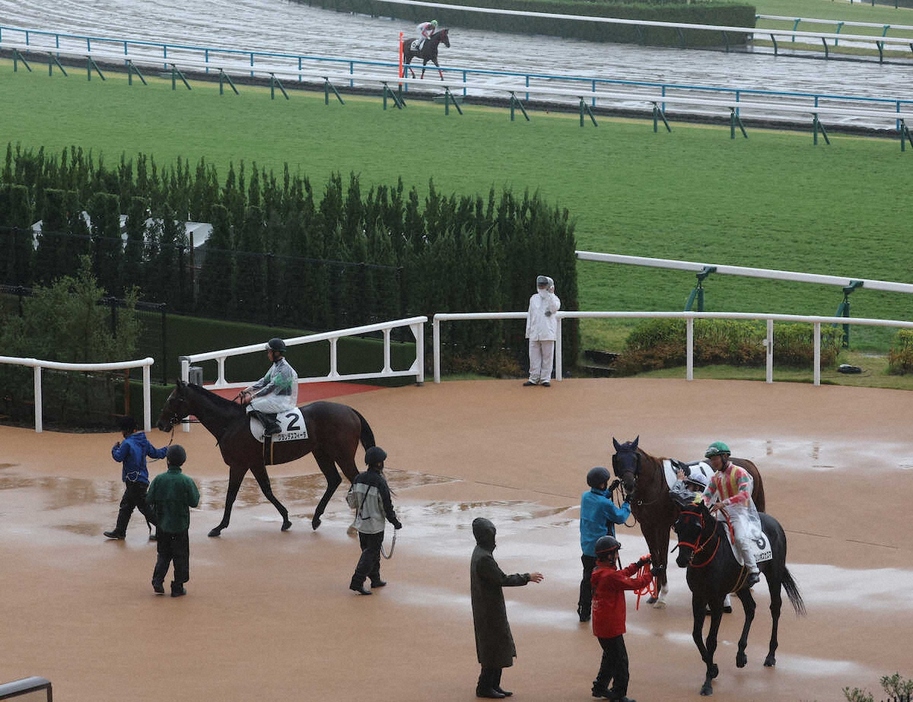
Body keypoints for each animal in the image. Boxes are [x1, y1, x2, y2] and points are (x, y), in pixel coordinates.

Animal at [157, 382, 374, 536]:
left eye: (173, 399)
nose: (160, 424)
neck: (231, 423)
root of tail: (350, 410)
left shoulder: (240, 464)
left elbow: (231, 495)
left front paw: (219, 527)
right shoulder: (254, 463)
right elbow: (266, 490)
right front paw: (286, 519)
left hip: (342, 455)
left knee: (355, 480)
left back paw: (353, 525)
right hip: (321, 453)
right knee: (333, 480)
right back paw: (316, 519)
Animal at [608, 440, 764, 612]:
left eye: (635, 459)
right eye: (618, 460)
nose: (629, 484)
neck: (654, 483)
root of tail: (748, 464)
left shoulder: (662, 526)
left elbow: (663, 559)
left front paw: (662, 596)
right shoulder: (647, 526)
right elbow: (655, 558)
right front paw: (654, 595)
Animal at [668, 504, 804, 696]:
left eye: (697, 528)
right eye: (677, 527)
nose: (682, 559)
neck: (709, 556)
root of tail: (774, 521)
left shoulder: (716, 600)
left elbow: (711, 640)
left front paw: (707, 682)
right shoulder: (698, 597)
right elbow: (696, 635)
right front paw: (713, 669)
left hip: (774, 573)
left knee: (775, 608)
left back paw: (771, 655)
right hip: (741, 585)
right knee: (750, 608)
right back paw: (741, 654)